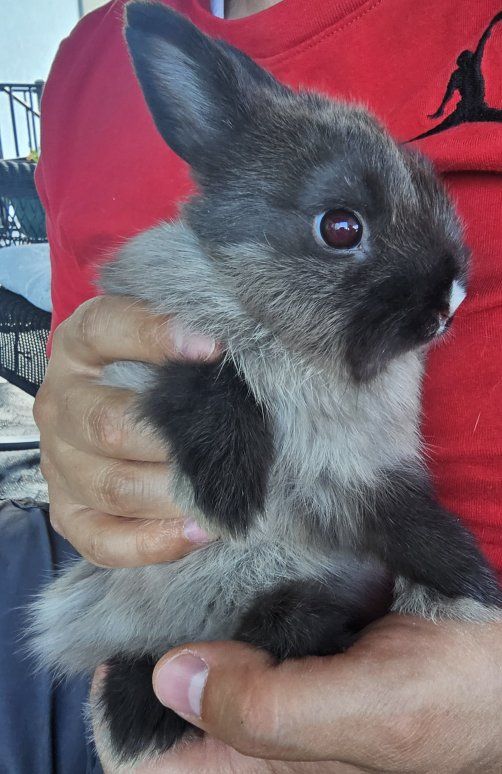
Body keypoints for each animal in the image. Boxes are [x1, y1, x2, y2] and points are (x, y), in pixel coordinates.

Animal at [29, 1, 502, 767]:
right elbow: (210, 379)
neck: (291, 340)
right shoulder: (159, 351)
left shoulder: (369, 477)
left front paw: (473, 580)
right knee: (157, 647)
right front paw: (231, 491)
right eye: (340, 227)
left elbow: (412, 521)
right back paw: (143, 712)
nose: (449, 300)